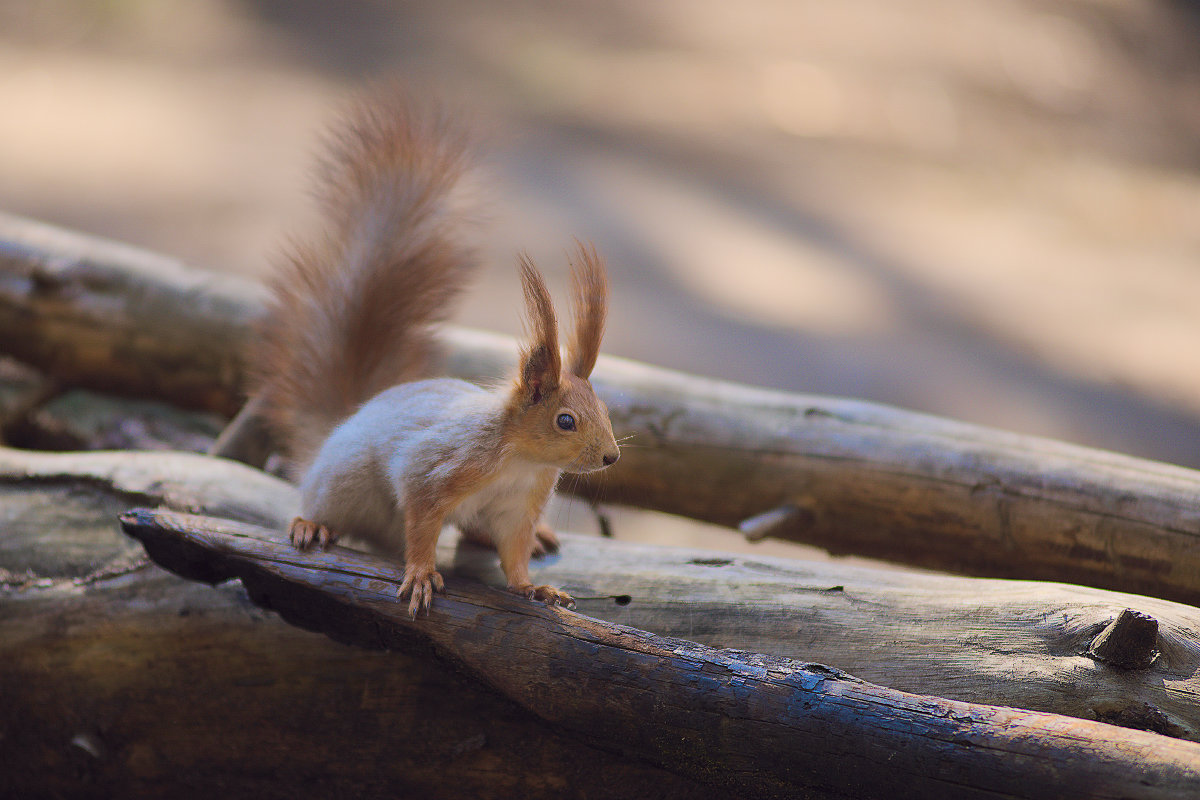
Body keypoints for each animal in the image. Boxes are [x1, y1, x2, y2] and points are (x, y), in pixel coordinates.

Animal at [254, 86, 628, 614]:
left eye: (605, 410)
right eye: (565, 421)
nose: (611, 457)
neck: (521, 463)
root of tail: (334, 430)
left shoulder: (519, 508)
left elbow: (514, 552)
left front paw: (531, 586)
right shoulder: (434, 472)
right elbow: (422, 524)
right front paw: (421, 575)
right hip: (346, 481)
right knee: (323, 502)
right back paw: (311, 524)